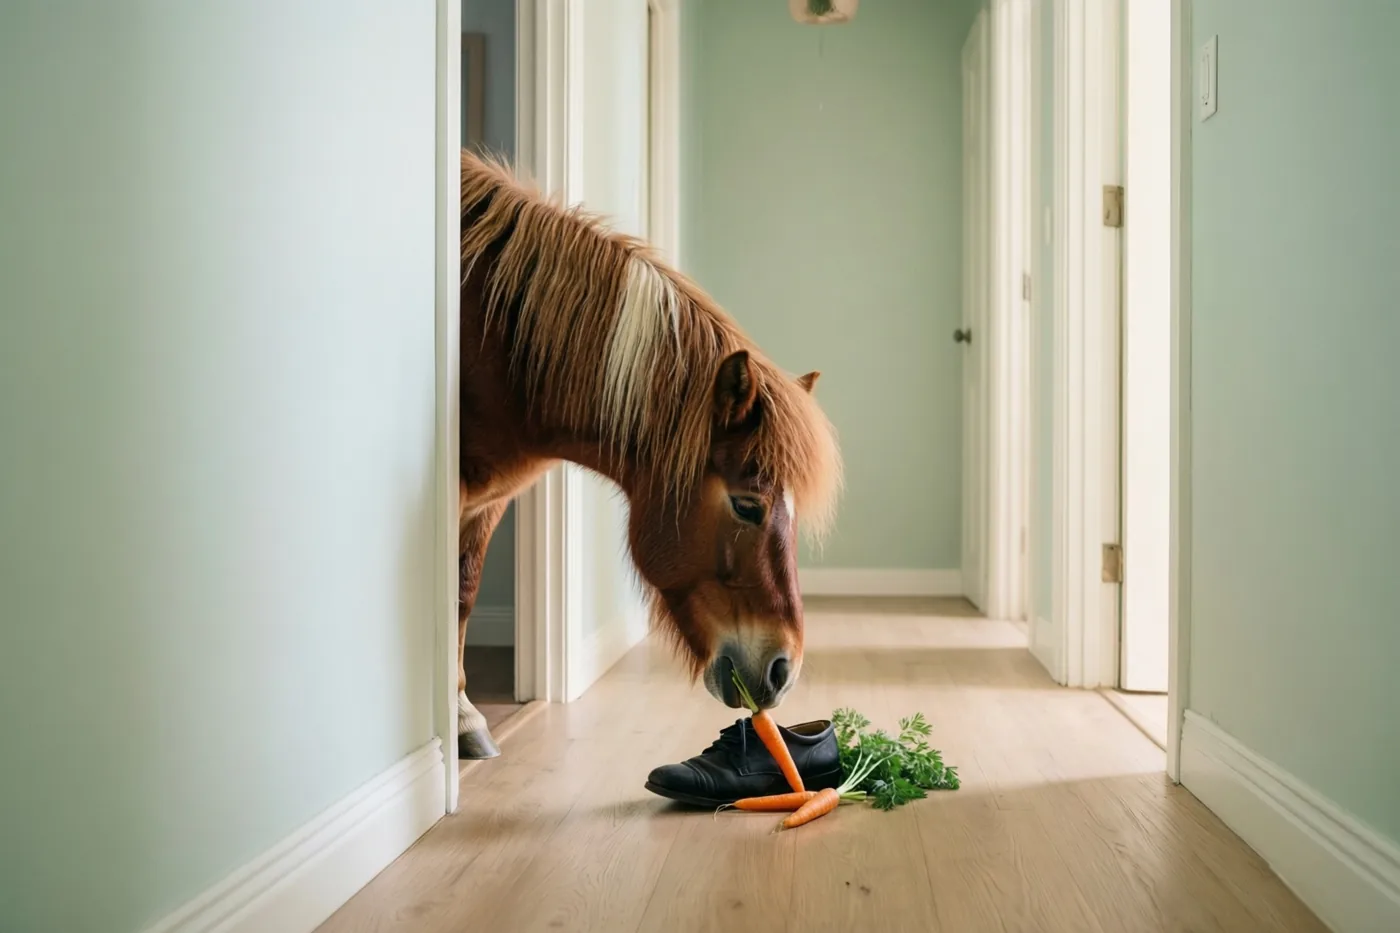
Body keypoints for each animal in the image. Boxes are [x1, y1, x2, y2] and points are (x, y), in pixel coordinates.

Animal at [455, 150, 842, 758]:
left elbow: (463, 594)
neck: (492, 343)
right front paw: (459, 718)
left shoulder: (486, 502)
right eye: (747, 505)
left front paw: (464, 719)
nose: (784, 671)